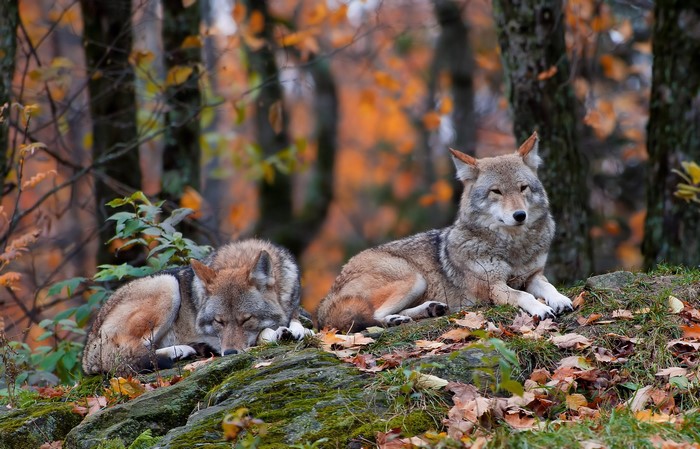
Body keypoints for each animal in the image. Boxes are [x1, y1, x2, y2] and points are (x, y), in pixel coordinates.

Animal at [82, 239, 311, 375]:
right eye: (219, 321)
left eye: (246, 319)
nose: (229, 353)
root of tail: (87, 353)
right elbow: (264, 333)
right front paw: (277, 332)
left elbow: (296, 319)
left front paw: (297, 329)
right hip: (167, 286)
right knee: (126, 357)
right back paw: (179, 351)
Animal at [316, 132, 573, 332]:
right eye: (496, 191)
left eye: (523, 188)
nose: (520, 215)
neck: (512, 248)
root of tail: (325, 300)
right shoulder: (493, 287)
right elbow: (524, 296)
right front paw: (541, 308)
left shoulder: (533, 276)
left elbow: (549, 287)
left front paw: (561, 300)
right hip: (413, 278)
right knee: (373, 317)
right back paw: (395, 319)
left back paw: (430, 309)